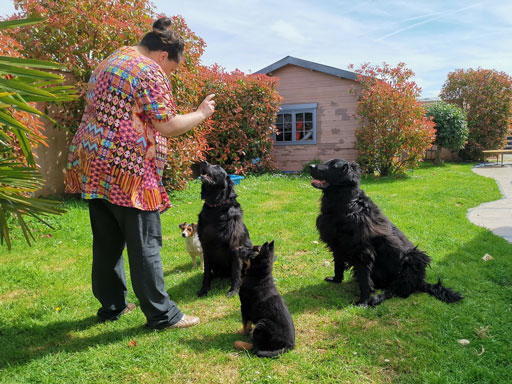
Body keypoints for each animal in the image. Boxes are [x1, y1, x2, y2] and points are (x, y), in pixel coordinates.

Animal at [196, 160, 252, 298]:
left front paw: (233, 290)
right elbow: (206, 273)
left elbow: (236, 273)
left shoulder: (235, 247)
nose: (203, 162)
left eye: (217, 167)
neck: (216, 208)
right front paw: (204, 289)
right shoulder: (206, 246)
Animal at [308, 158, 464, 306]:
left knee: (399, 289)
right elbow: (338, 265)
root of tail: (421, 281)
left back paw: (377, 298)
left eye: (333, 166)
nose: (310, 166)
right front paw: (336, 280)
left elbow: (364, 280)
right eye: (326, 162)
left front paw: (363, 302)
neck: (344, 203)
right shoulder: (337, 244)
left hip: (413, 258)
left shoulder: (362, 251)